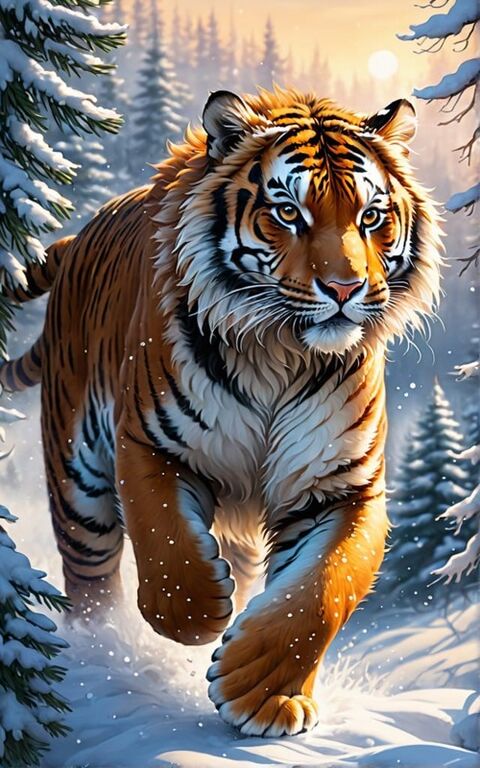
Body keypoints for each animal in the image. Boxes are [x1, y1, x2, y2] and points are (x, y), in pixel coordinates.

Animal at [0, 87, 442, 737]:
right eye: (288, 213)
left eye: (370, 217)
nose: (345, 289)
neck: (282, 353)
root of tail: (76, 238)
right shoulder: (150, 442)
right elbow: (165, 537)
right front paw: (199, 611)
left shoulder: (344, 486)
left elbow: (323, 591)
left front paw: (260, 690)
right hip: (78, 483)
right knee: (89, 586)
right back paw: (103, 659)